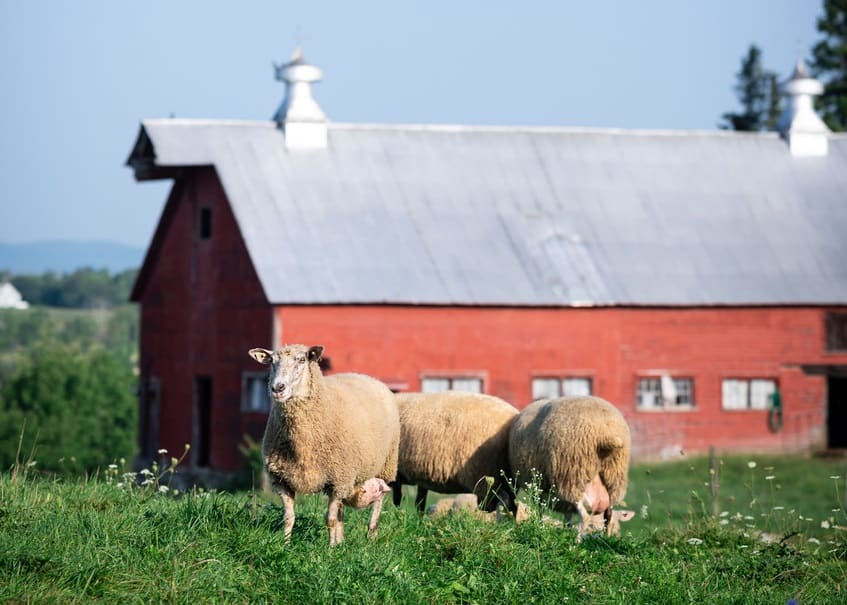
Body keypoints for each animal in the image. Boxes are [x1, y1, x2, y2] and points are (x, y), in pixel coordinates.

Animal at [248, 344, 400, 546]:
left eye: (302, 360)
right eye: (272, 361)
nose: (277, 388)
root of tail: (367, 377)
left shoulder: (338, 479)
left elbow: (330, 519)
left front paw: (330, 549)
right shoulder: (281, 480)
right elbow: (288, 517)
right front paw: (284, 545)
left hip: (385, 466)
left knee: (378, 501)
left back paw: (370, 535)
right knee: (342, 511)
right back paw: (342, 541)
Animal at [508, 396, 632, 540]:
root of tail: (606, 434)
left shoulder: (541, 491)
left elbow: (541, 512)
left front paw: (541, 527)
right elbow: (567, 519)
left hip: (572, 476)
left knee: (584, 516)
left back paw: (577, 541)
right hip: (613, 479)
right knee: (608, 514)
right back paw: (603, 539)